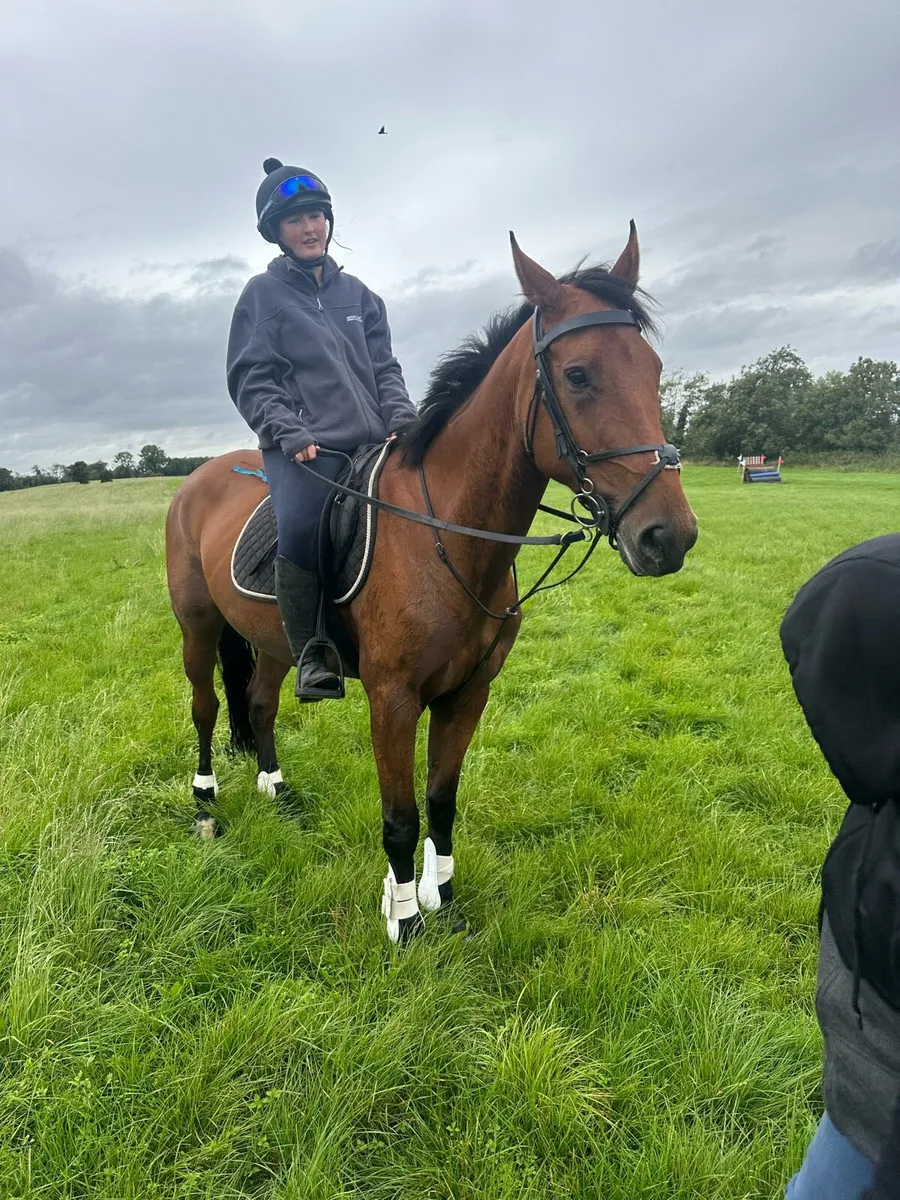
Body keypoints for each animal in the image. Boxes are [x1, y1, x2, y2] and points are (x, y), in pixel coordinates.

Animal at [165, 226, 698, 941]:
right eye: (578, 375)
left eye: (654, 370)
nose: (669, 536)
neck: (449, 534)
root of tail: (198, 477)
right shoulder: (392, 699)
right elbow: (400, 816)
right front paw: (404, 919)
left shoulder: (467, 692)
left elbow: (442, 799)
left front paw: (441, 894)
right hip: (197, 627)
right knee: (205, 706)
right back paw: (204, 802)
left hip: (276, 640)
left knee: (259, 702)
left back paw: (274, 786)